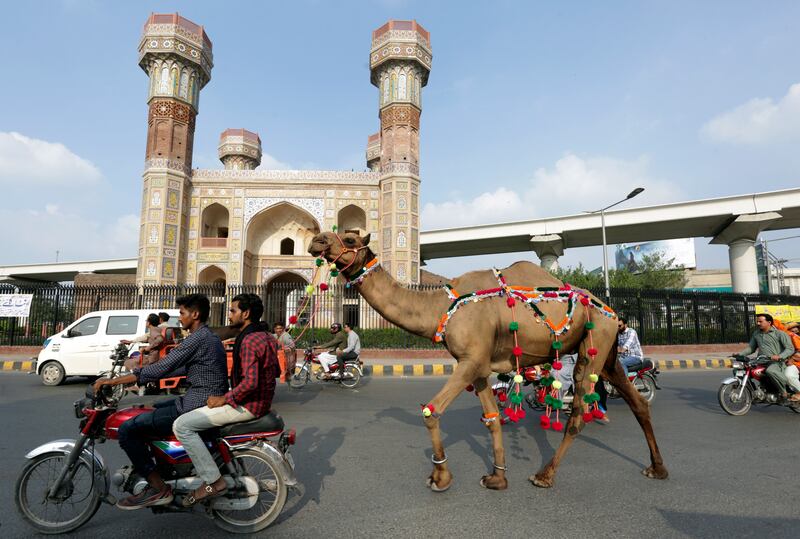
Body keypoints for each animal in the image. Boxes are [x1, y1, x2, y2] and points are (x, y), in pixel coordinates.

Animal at [306, 230, 668, 492]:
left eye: (351, 239)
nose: (317, 239)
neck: (440, 307)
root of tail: (614, 313)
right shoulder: (477, 364)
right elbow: (492, 418)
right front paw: (497, 477)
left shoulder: (470, 359)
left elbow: (431, 411)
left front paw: (440, 478)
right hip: (606, 352)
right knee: (638, 402)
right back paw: (657, 468)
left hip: (595, 342)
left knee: (579, 413)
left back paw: (545, 475)